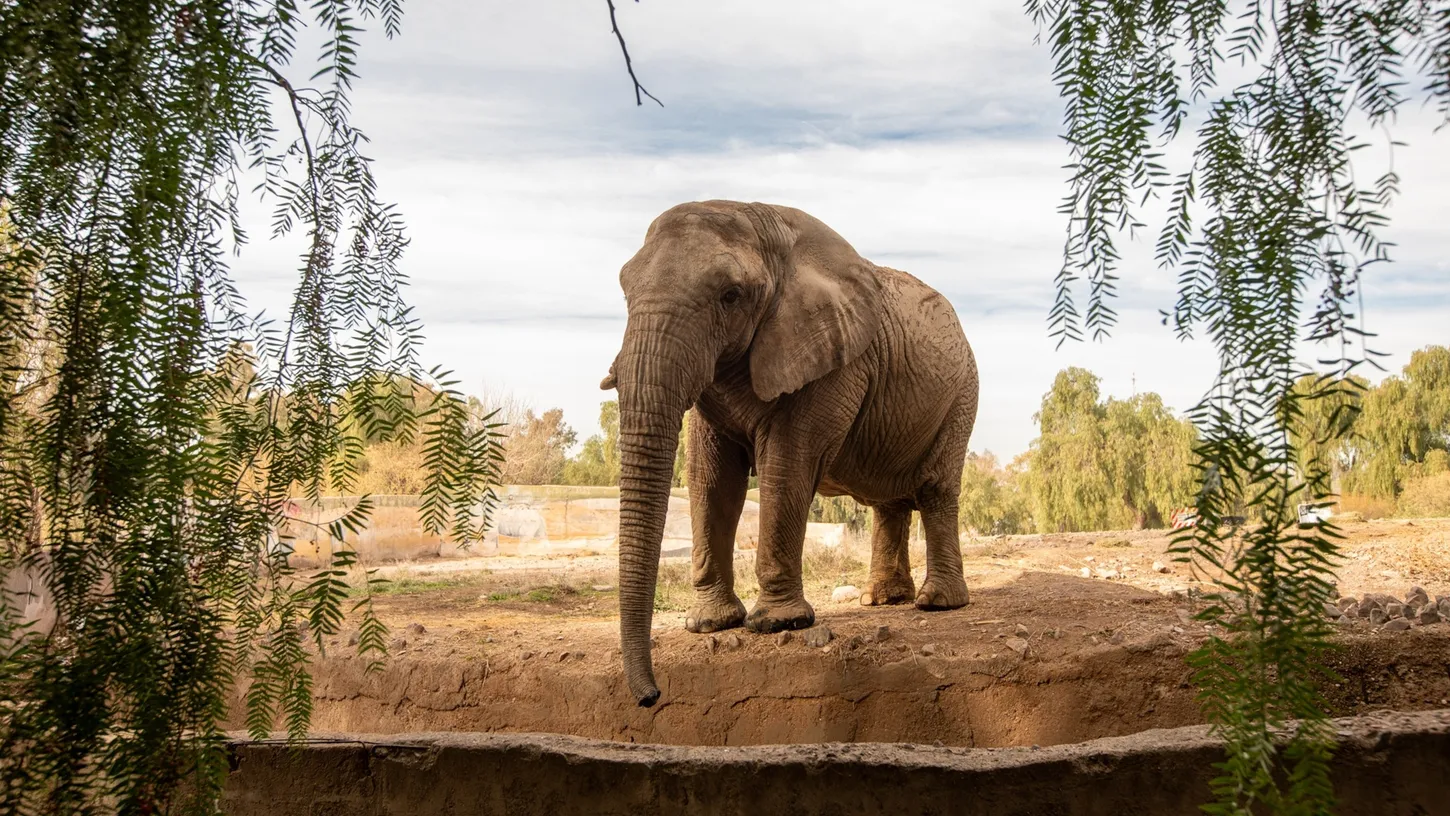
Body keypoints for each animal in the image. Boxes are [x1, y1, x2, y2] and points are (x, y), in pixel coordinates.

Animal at [601, 200, 979, 707]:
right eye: (625, 289)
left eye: (731, 295)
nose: (650, 697)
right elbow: (711, 478)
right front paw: (709, 625)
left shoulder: (833, 361)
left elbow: (787, 462)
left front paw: (780, 623)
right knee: (890, 503)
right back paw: (881, 600)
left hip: (961, 394)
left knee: (936, 488)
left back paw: (936, 604)